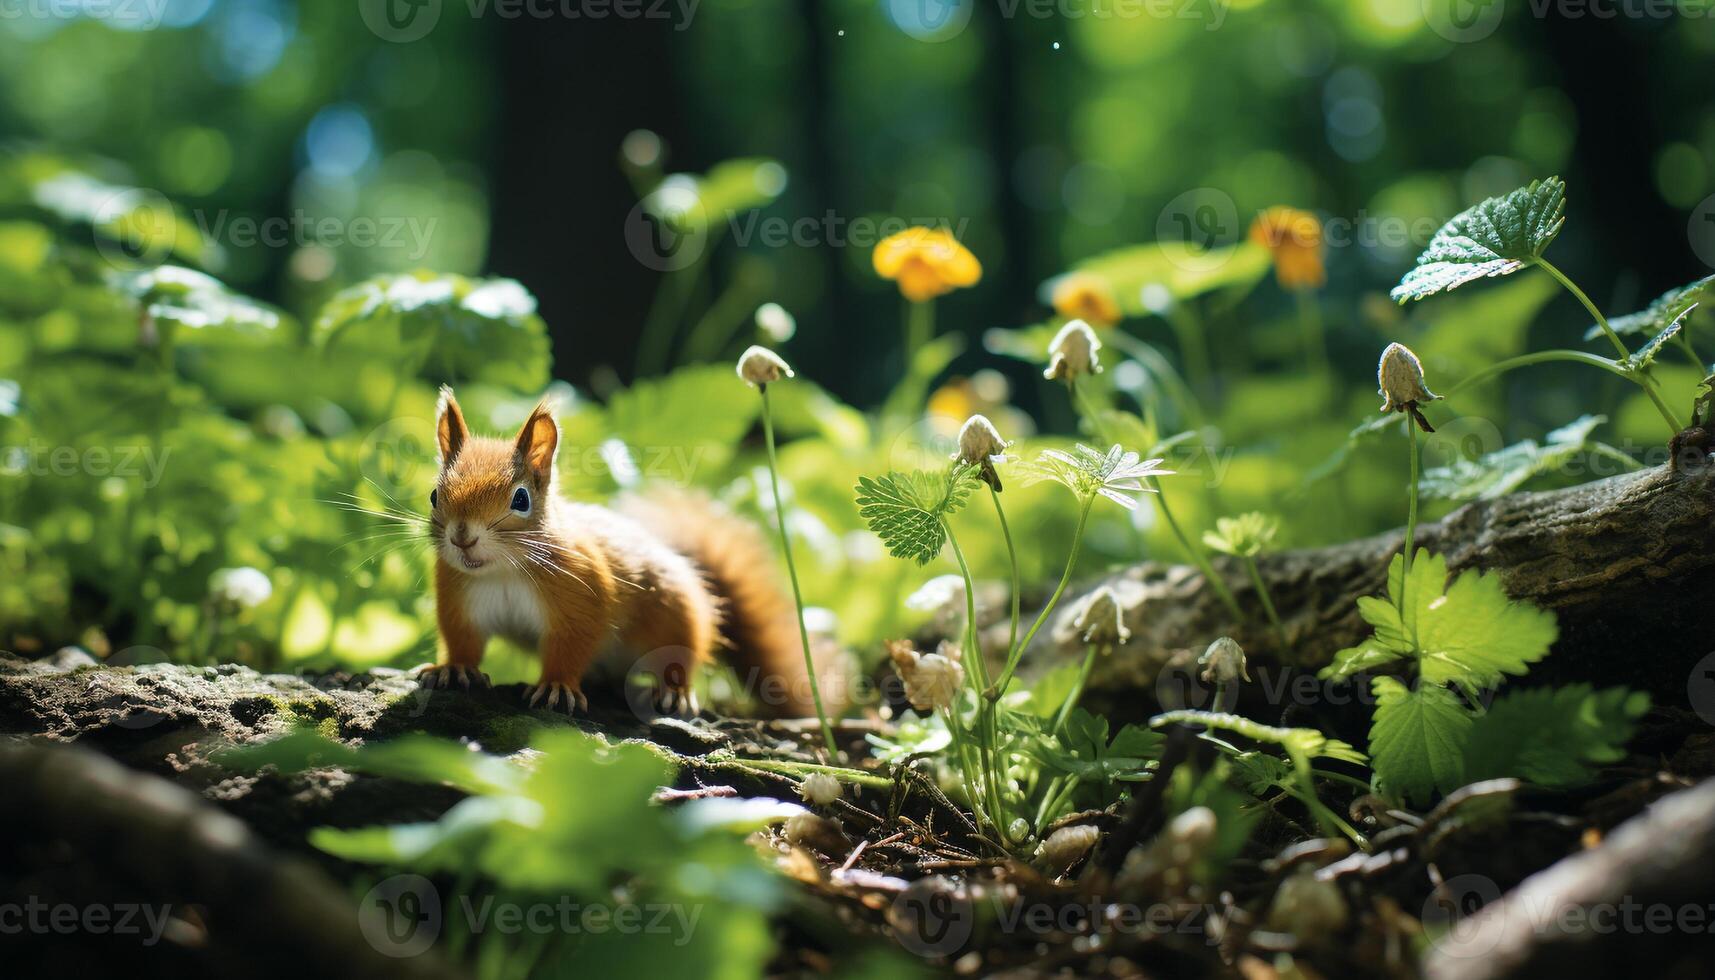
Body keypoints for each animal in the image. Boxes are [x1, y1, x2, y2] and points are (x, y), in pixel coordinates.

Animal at [415, 387, 816, 717]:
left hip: (676, 614)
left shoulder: (582, 594)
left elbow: (571, 645)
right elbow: (462, 638)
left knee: (681, 656)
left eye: (521, 499)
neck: (503, 570)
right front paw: (454, 668)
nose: (462, 537)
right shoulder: (460, 600)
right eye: (434, 495)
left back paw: (675, 692)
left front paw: (557, 687)